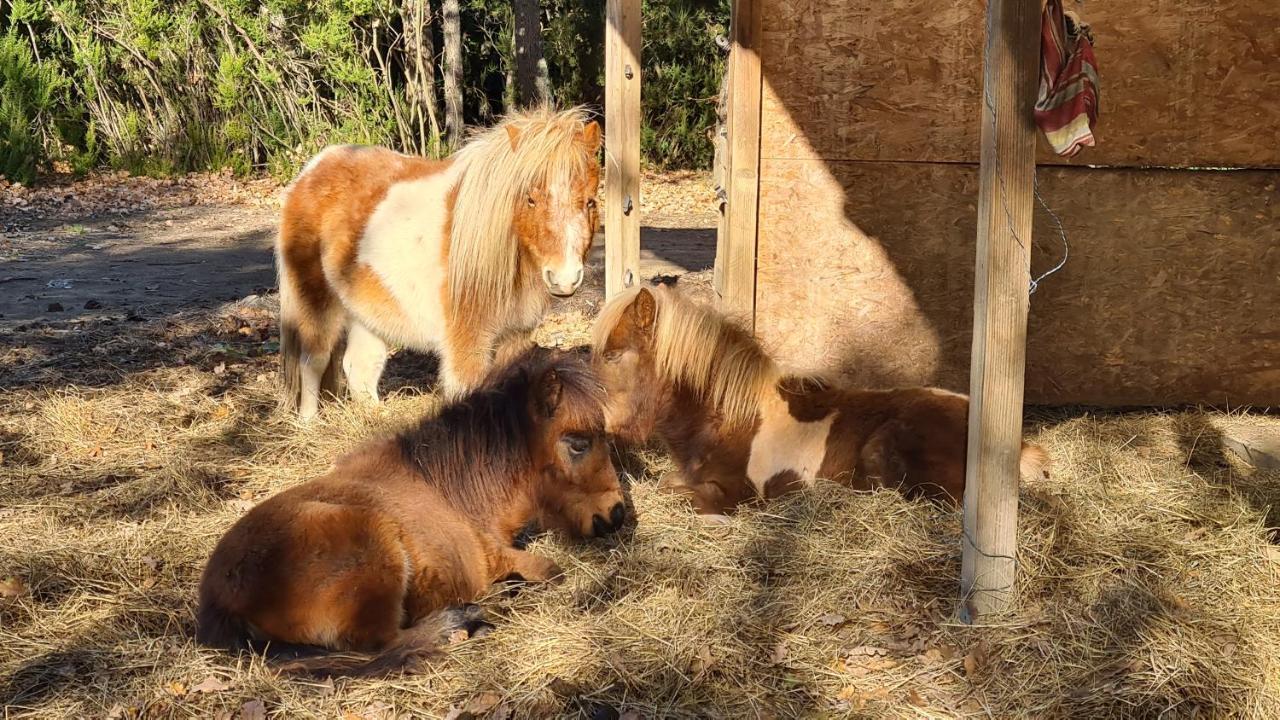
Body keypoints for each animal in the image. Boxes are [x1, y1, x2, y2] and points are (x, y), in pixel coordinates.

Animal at [193, 348, 624, 671]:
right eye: (578, 443)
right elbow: (552, 570)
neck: (452, 491)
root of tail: (221, 597)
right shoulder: (496, 556)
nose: (616, 514)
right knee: (382, 645)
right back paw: (461, 621)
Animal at [275, 109, 599, 417]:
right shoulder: (466, 345)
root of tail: (313, 168)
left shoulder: (514, 338)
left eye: (590, 202)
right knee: (313, 362)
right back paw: (308, 423)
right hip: (317, 303)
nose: (565, 279)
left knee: (360, 366)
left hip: (368, 311)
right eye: (530, 200)